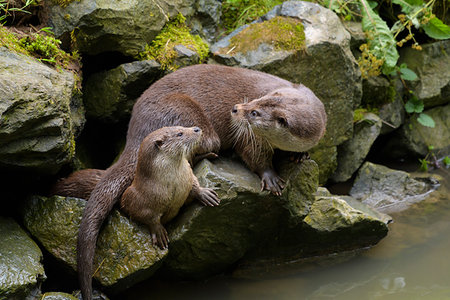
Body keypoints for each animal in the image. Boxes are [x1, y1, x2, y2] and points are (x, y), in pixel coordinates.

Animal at [76, 65, 324, 300]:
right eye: (255, 100)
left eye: (254, 112)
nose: (235, 108)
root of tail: (135, 128)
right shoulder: (249, 137)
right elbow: (253, 155)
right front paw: (270, 176)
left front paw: (300, 156)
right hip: (187, 116)